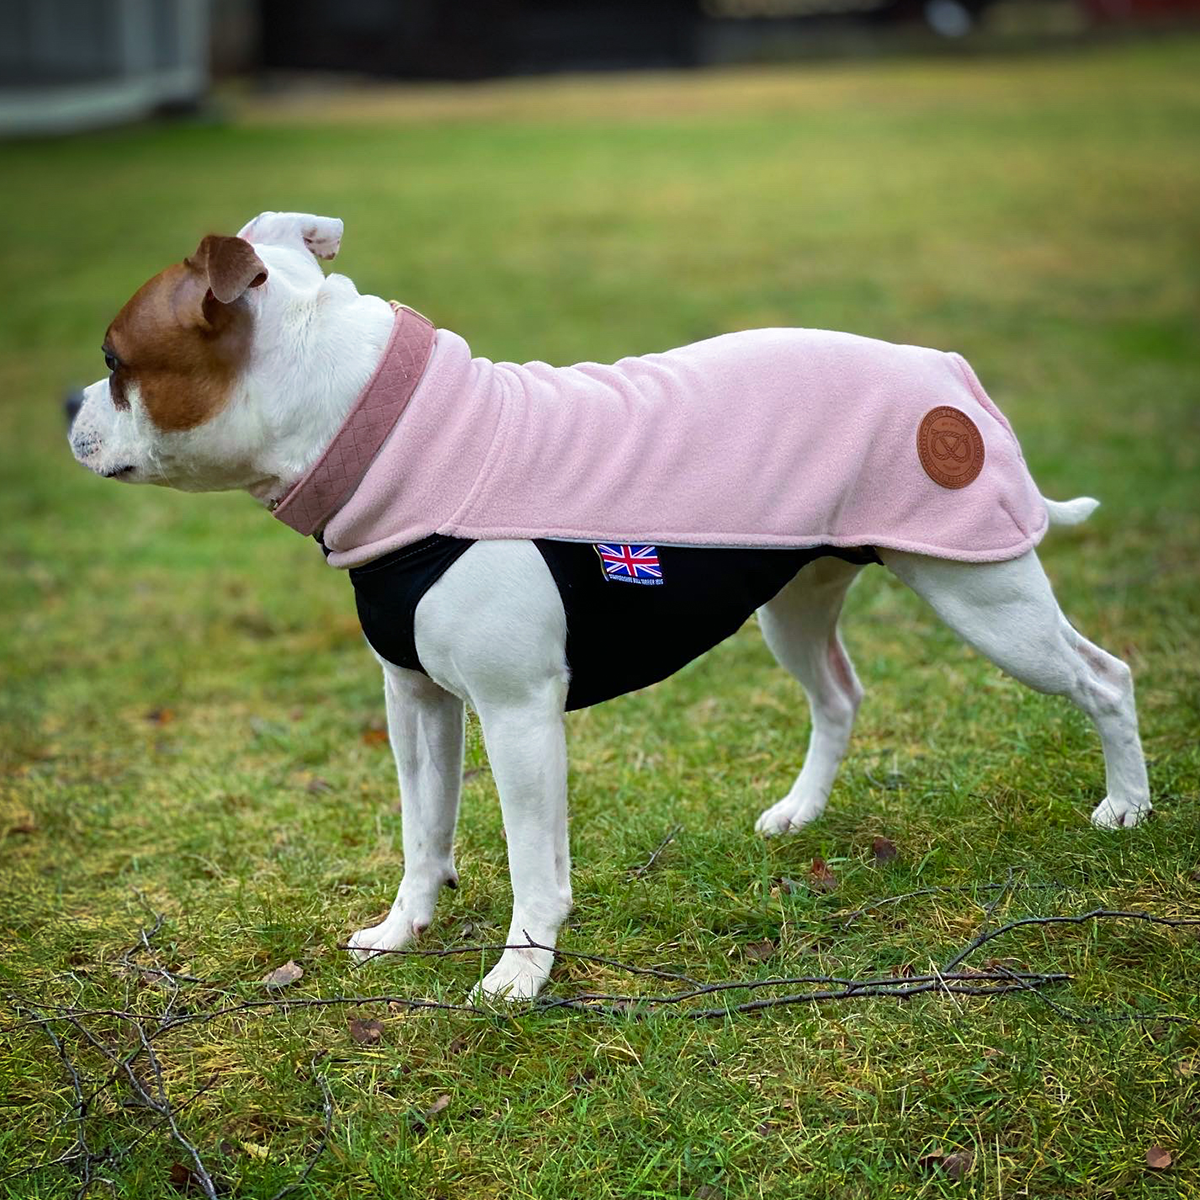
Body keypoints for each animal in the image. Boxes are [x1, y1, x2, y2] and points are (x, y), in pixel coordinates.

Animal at [68, 213, 1152, 1003]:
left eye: (116, 363)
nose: (65, 402)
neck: (388, 437)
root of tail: (943, 369)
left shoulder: (517, 716)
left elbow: (532, 866)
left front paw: (519, 974)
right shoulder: (417, 704)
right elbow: (423, 836)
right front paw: (402, 931)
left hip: (987, 596)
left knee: (1104, 676)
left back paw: (1127, 808)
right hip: (795, 604)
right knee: (839, 695)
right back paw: (799, 814)